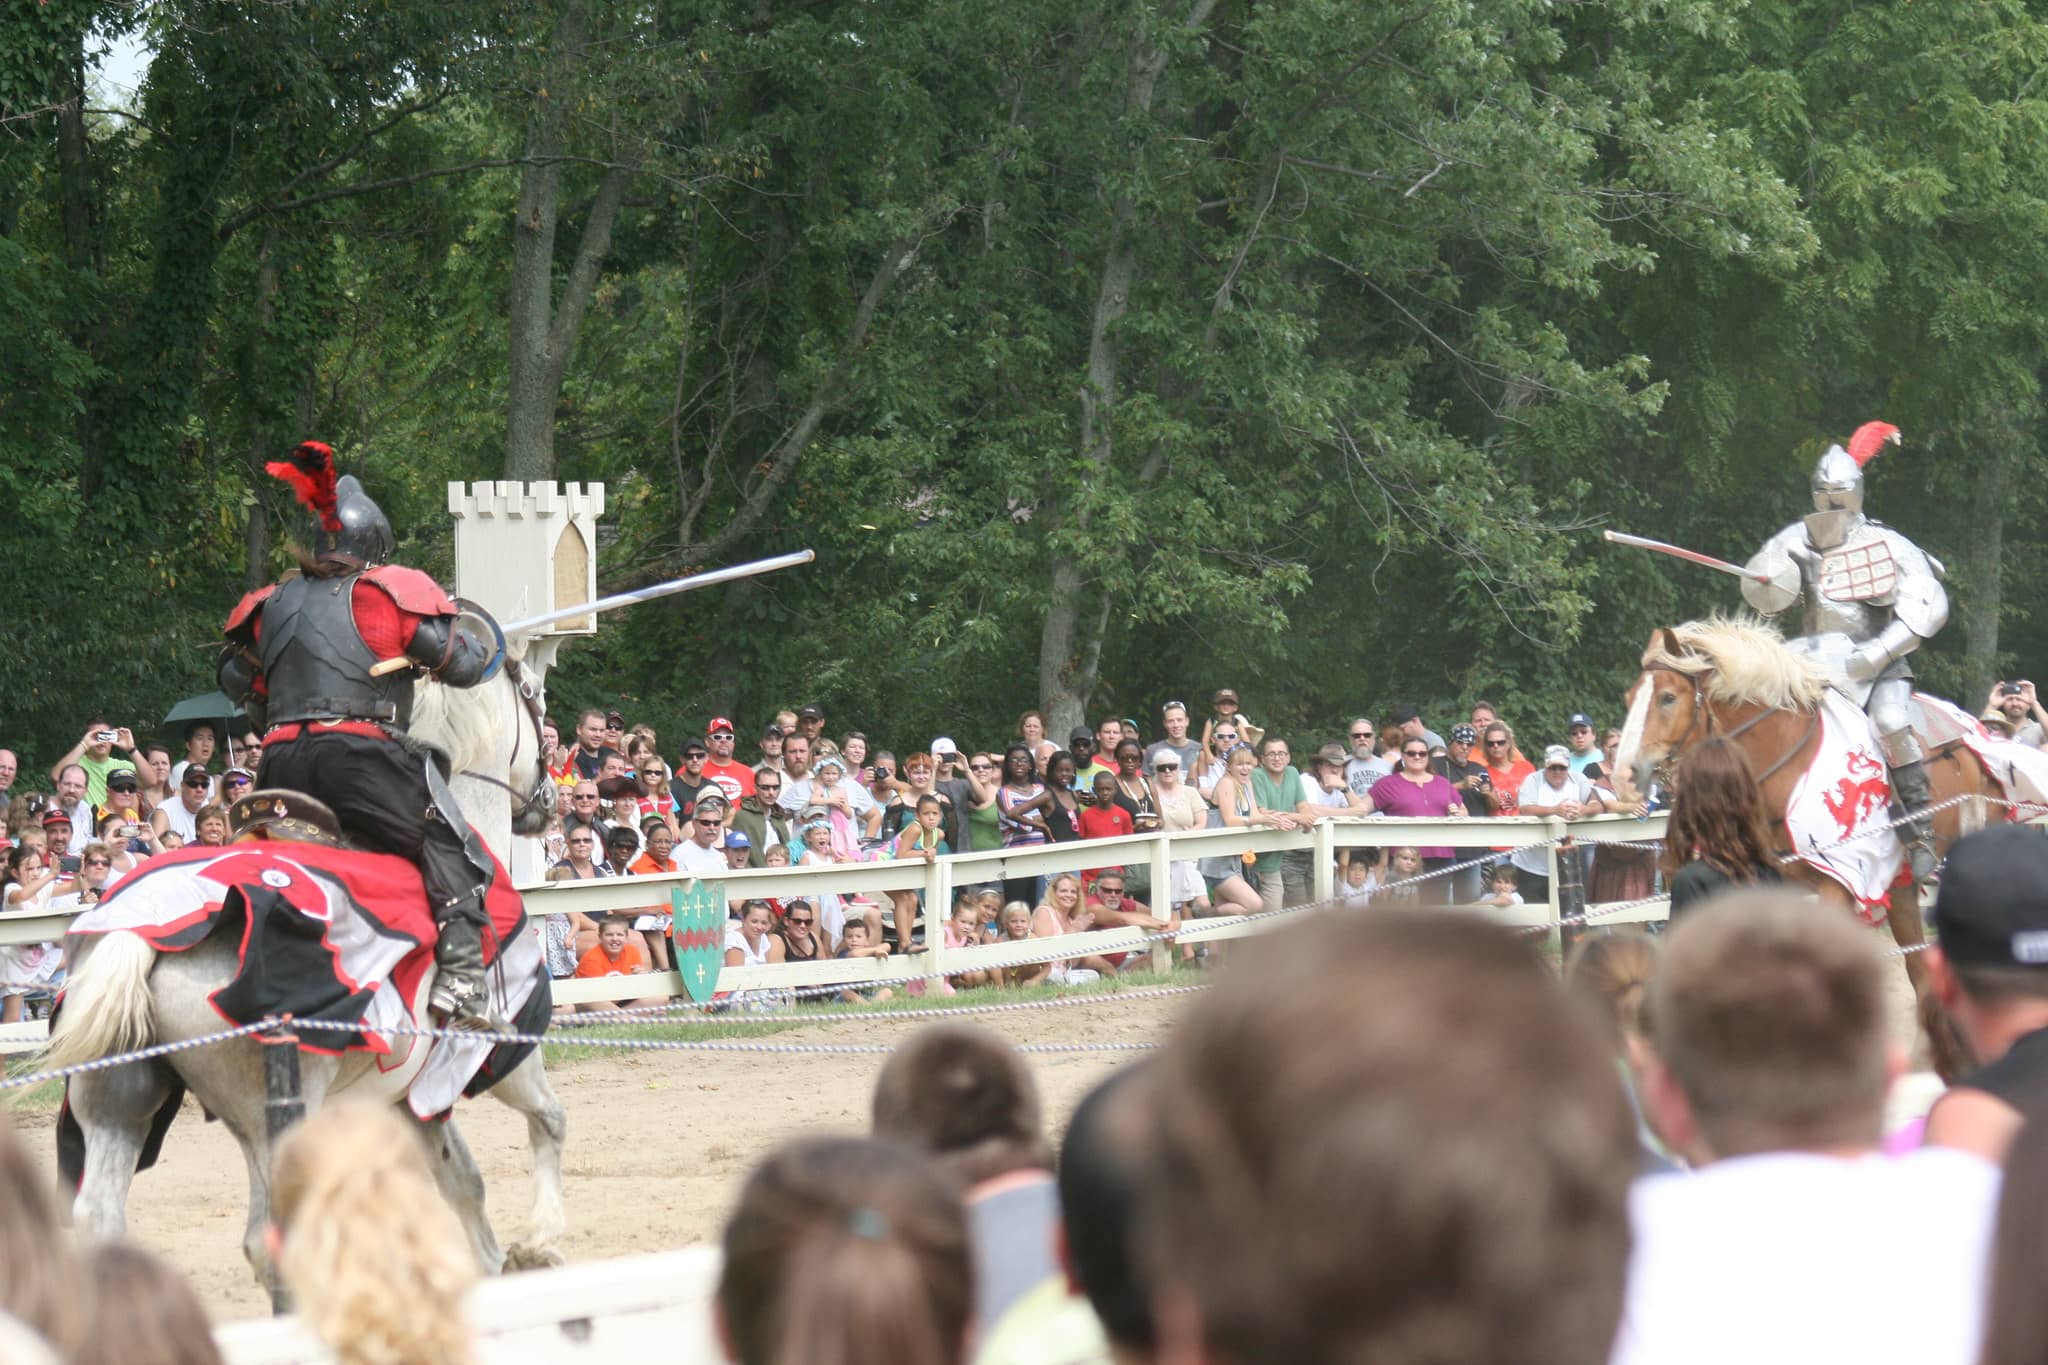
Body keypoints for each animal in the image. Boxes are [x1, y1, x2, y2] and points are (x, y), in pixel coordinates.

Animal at [44, 654, 569, 1285]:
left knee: (101, 1217)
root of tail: (145, 932)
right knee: (266, 1241)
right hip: (275, 1114)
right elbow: (548, 1119)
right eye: (535, 693)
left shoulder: (409, 1094)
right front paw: (539, 1241)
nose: (547, 798)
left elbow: (461, 1178)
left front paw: (492, 1265)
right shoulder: (503, 1048)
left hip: (120, 1102)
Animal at [1613, 618, 1998, 1080]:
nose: (1623, 778)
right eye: (1630, 698)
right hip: (1902, 887)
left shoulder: (1839, 884)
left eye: (1668, 697)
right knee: (1919, 969)